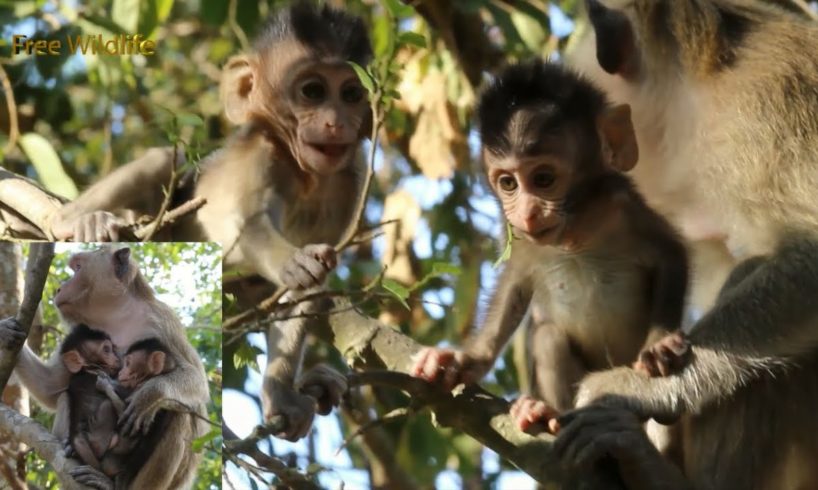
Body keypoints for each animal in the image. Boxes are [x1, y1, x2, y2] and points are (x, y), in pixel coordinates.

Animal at [408, 61, 688, 432]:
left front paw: (660, 344)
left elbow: (671, 255)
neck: (573, 234)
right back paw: (545, 411)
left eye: (543, 179)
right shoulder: (519, 237)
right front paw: (463, 359)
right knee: (548, 338)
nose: (528, 212)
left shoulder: (622, 207)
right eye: (508, 183)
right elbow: (513, 286)